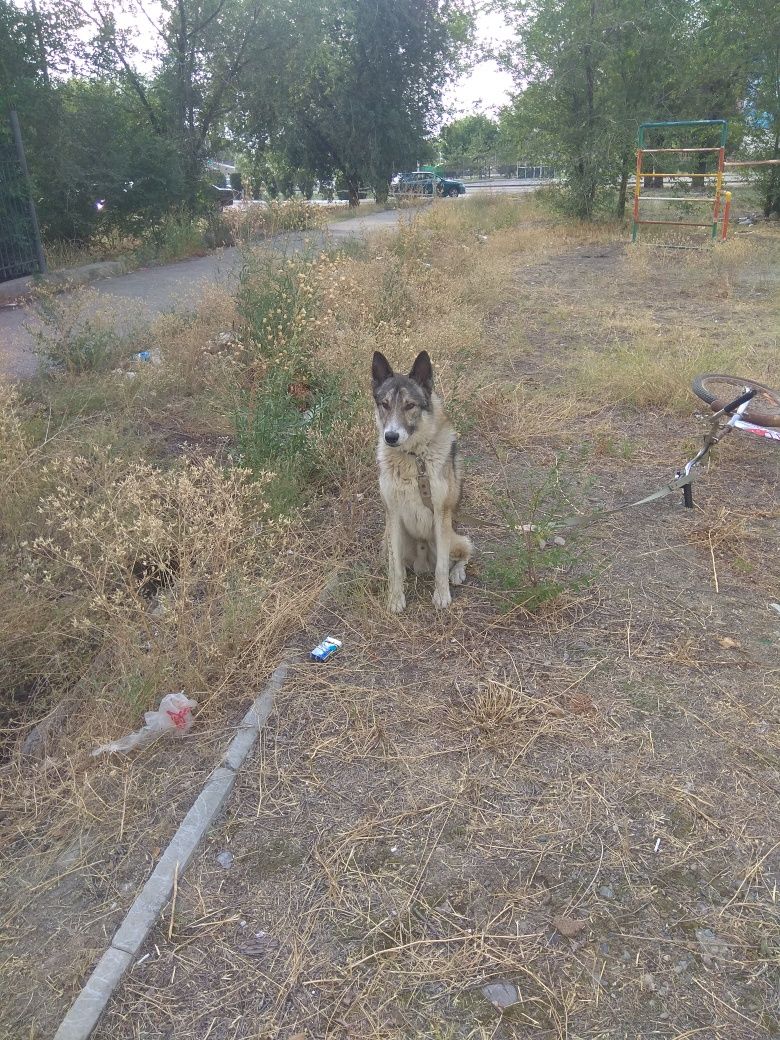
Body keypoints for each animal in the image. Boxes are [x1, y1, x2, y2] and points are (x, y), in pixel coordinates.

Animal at [374, 349, 476, 607]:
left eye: (410, 405)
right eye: (384, 405)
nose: (391, 436)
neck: (414, 458)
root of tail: (421, 565)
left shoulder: (441, 513)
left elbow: (441, 568)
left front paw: (442, 596)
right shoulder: (393, 514)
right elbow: (394, 569)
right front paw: (395, 599)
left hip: (453, 538)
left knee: (465, 551)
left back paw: (457, 573)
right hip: (387, 539)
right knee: (399, 564)